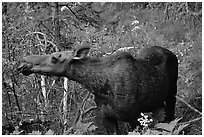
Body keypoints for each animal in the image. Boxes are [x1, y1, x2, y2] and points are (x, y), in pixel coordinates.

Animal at [17, 45, 177, 134]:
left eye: (55, 58)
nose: (23, 63)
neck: (99, 87)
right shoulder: (106, 117)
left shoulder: (134, 117)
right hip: (157, 103)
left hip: (172, 95)